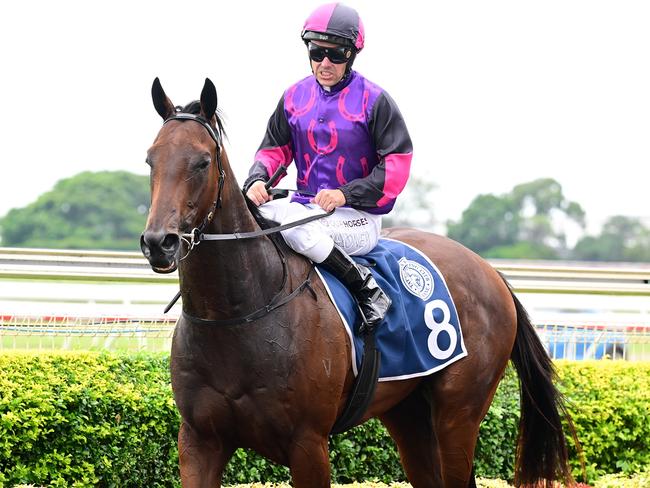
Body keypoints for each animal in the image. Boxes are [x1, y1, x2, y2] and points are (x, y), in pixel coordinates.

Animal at [139, 78, 568, 486]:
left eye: (202, 161)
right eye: (150, 159)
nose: (159, 242)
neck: (238, 313)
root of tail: (491, 271)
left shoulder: (308, 444)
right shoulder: (199, 440)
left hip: (458, 413)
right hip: (408, 410)